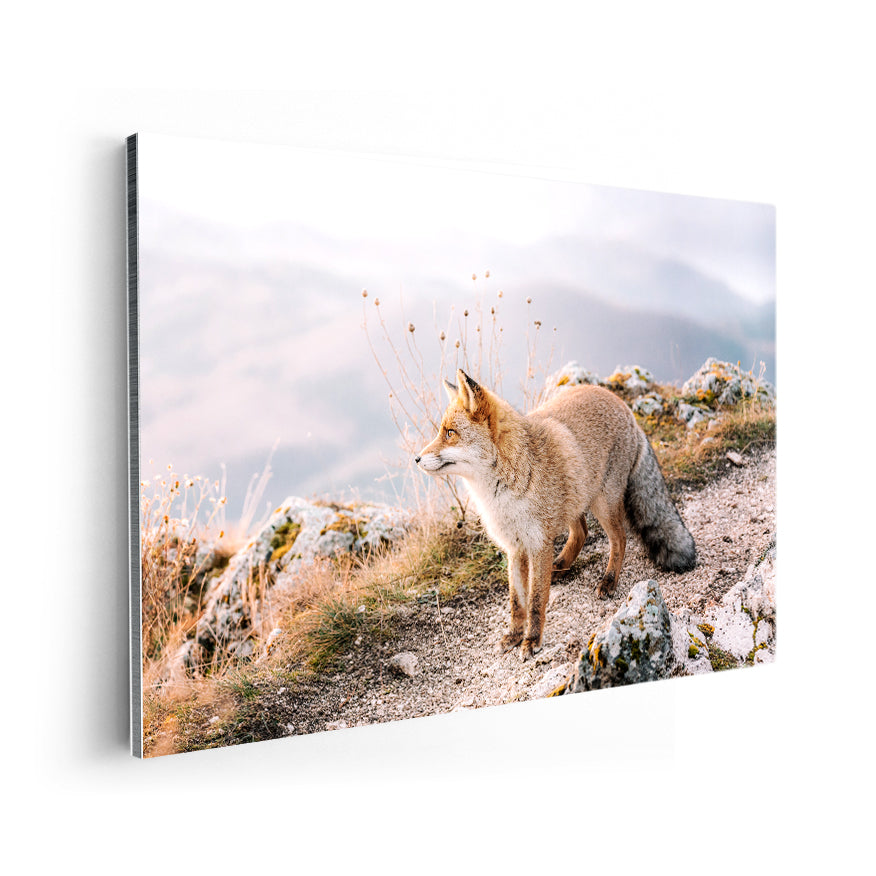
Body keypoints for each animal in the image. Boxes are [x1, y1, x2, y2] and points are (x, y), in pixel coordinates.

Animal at [416, 369, 696, 659]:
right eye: (441, 432)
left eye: (450, 433)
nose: (416, 459)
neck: (503, 492)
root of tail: (623, 405)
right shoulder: (515, 547)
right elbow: (517, 602)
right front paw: (515, 635)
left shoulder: (538, 543)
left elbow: (536, 600)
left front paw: (532, 640)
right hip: (575, 498)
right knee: (582, 532)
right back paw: (561, 566)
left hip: (603, 503)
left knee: (619, 539)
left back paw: (609, 581)